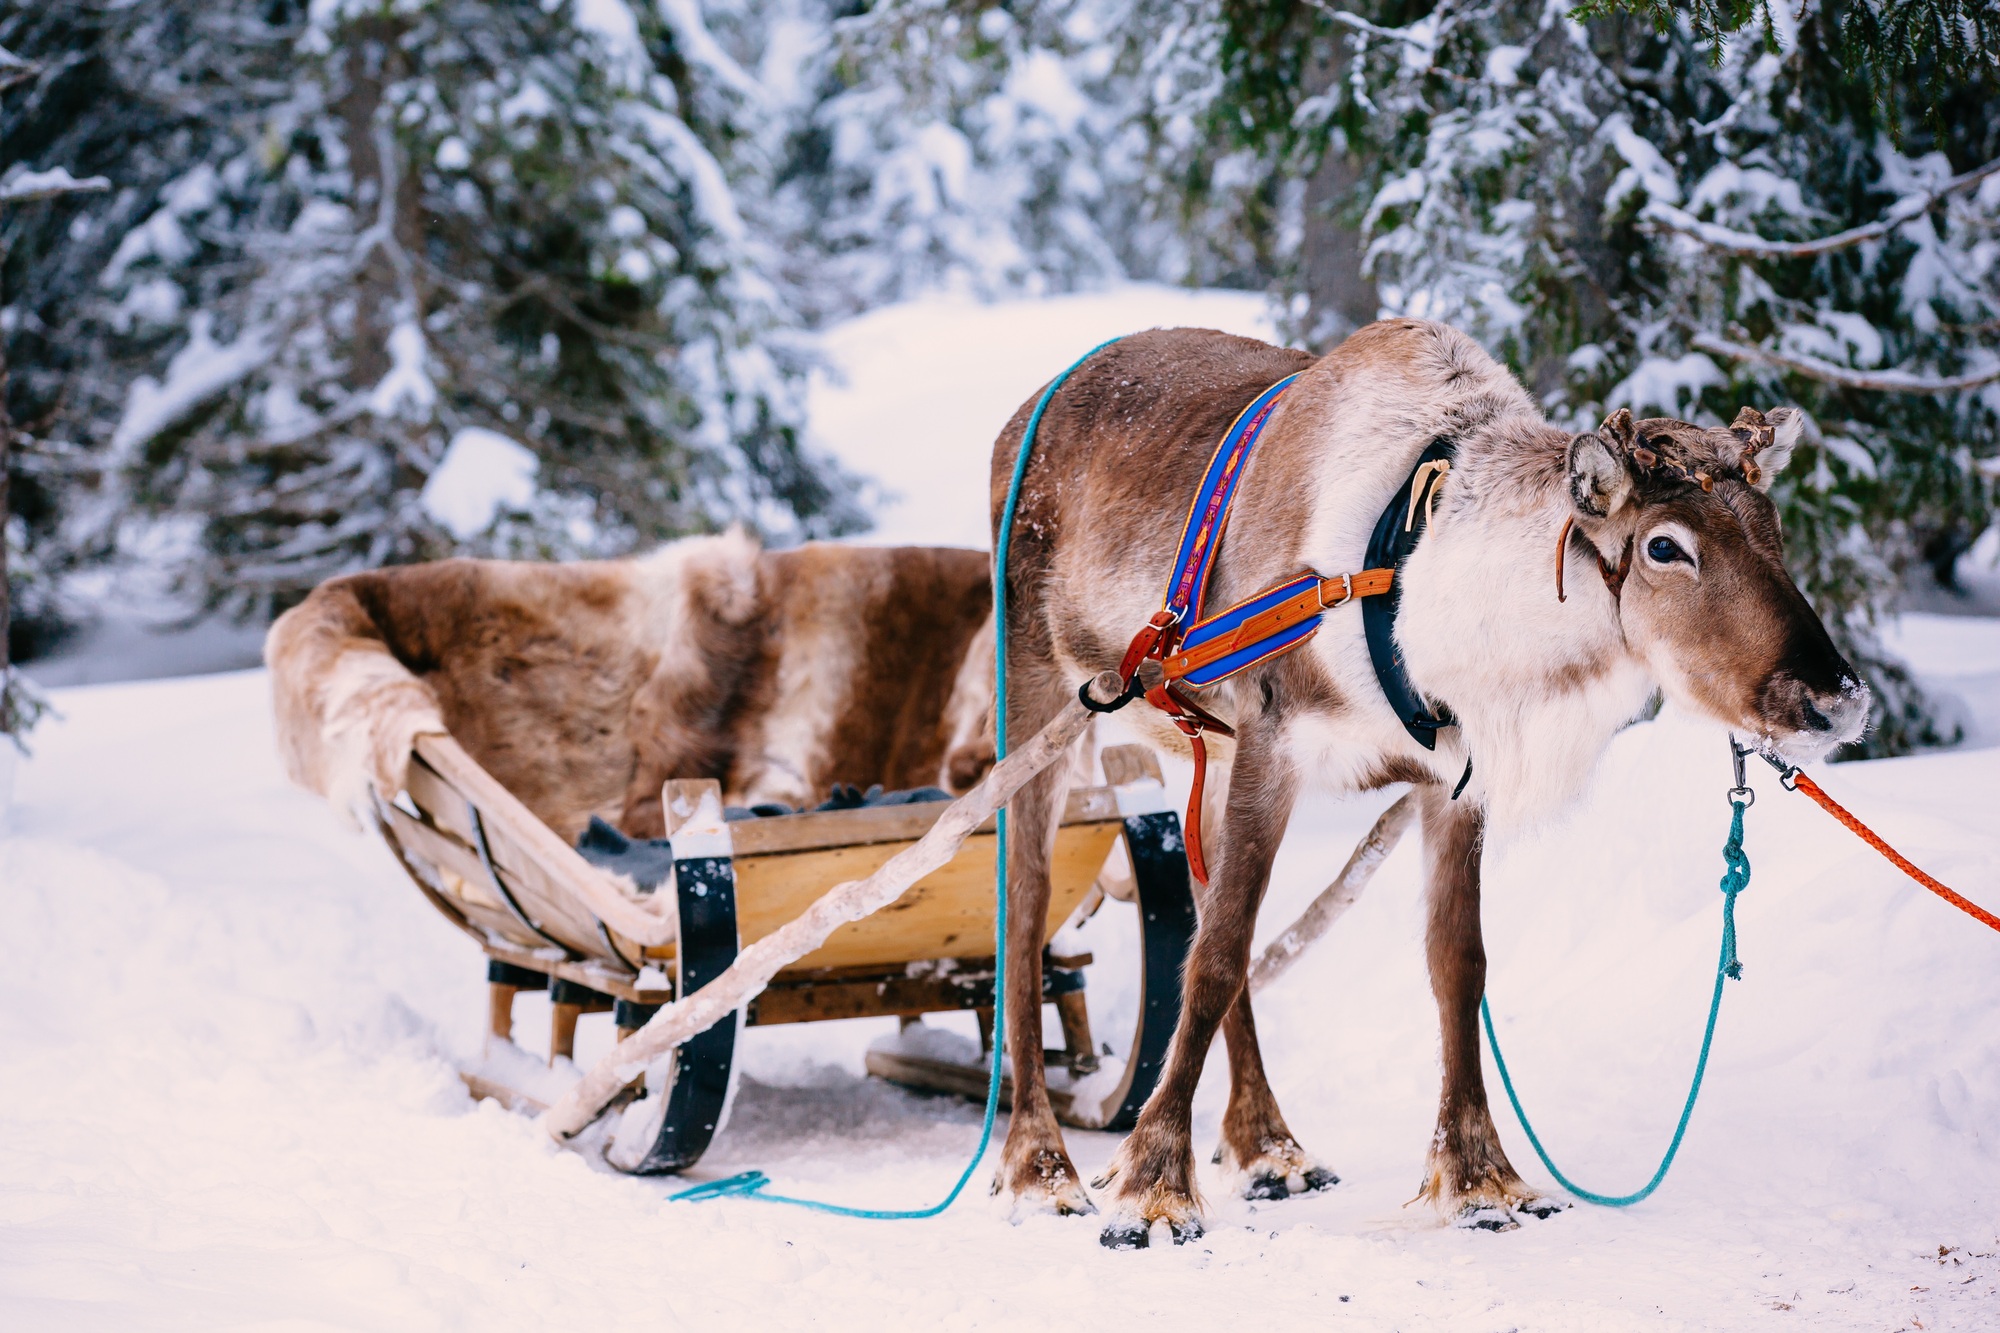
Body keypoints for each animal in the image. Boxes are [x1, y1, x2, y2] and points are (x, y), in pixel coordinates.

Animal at [987, 318, 1867, 1246]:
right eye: (1666, 546)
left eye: (1774, 531)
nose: (1834, 699)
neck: (1424, 591)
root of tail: (1028, 411)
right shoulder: (1273, 738)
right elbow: (1220, 956)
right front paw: (1151, 1187)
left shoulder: (1452, 783)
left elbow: (1457, 964)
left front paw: (1480, 1177)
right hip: (1039, 687)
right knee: (1028, 907)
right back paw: (1040, 1164)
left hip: (1204, 750)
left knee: (1196, 896)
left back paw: (1269, 1146)